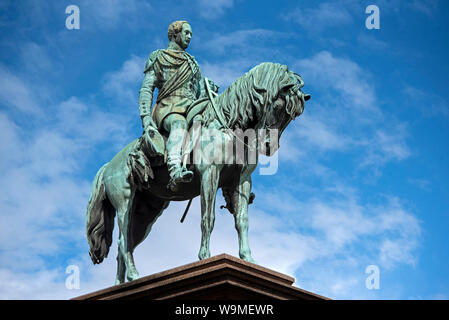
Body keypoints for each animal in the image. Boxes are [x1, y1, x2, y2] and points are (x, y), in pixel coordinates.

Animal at [85, 61, 308, 284]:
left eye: (292, 116)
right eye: (278, 107)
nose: (270, 147)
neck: (228, 125)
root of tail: (109, 165)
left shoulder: (242, 181)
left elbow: (242, 221)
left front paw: (248, 258)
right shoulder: (210, 174)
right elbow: (208, 218)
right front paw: (205, 257)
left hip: (145, 213)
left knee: (126, 244)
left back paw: (120, 284)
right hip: (125, 202)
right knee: (123, 241)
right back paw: (134, 275)